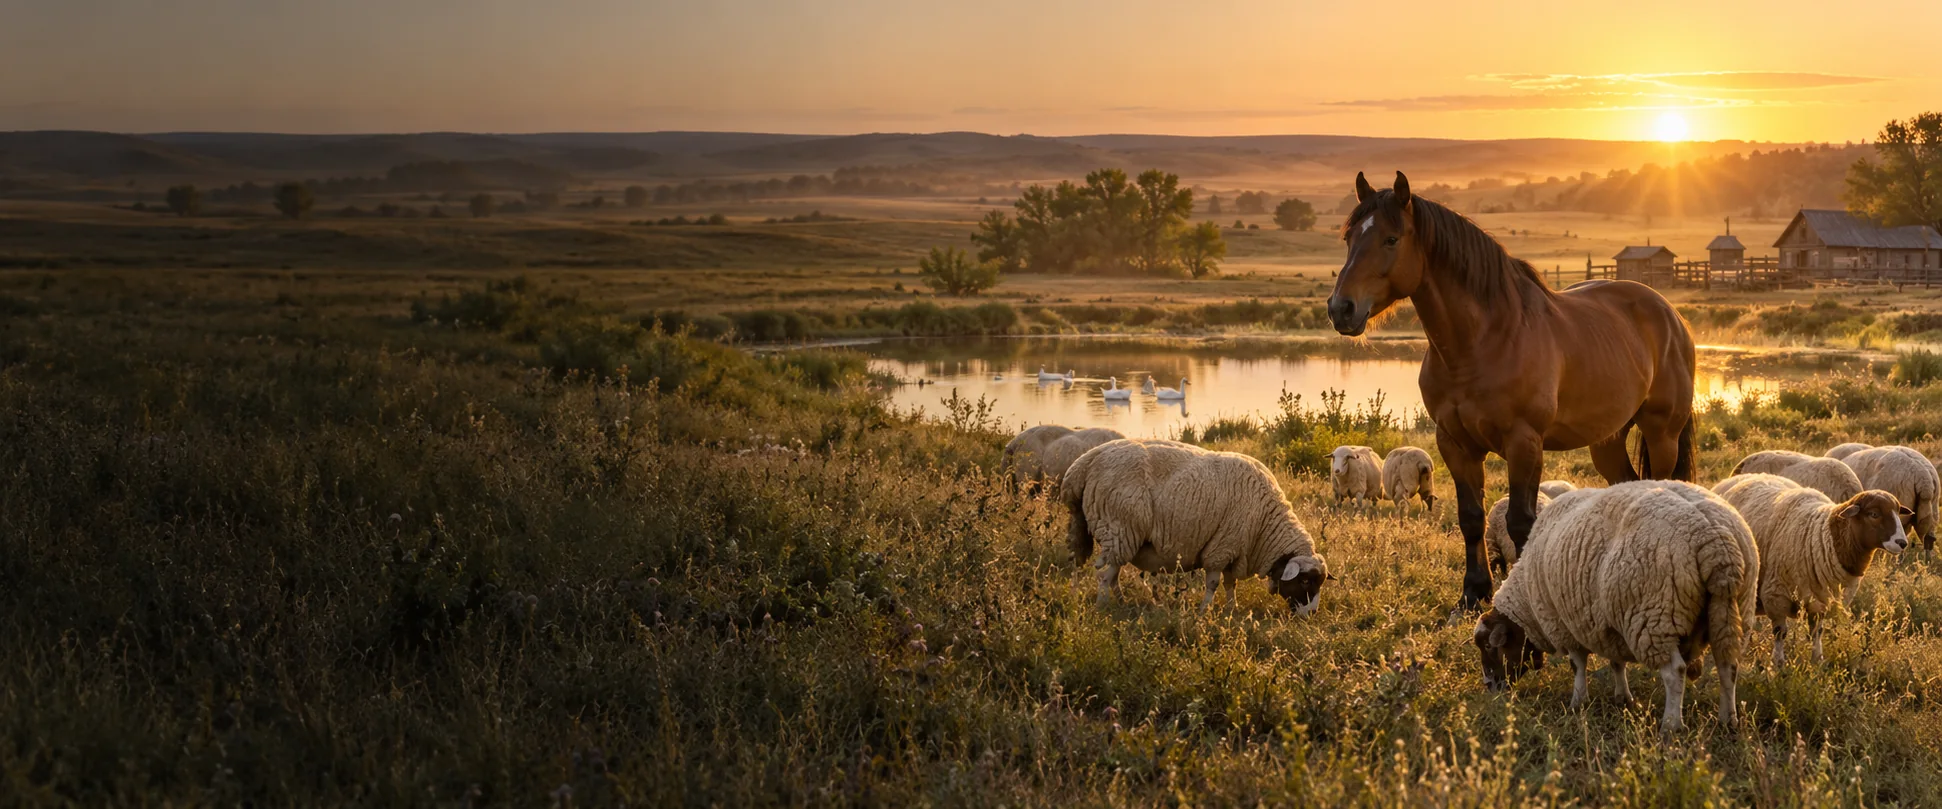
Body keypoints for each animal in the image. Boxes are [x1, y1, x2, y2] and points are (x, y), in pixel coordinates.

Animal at [1063, 439, 1329, 613]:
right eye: (1306, 581)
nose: (1312, 613)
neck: (1266, 526)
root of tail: (1083, 463)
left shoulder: (1233, 550)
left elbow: (1230, 584)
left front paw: (1231, 609)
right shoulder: (1221, 548)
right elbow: (1213, 583)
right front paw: (1204, 611)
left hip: (1119, 536)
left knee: (1112, 574)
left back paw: (1122, 603)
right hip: (1120, 528)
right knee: (1104, 575)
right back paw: (1103, 607)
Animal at [1327, 171, 1696, 610]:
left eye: (1390, 239)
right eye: (1349, 238)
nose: (1340, 309)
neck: (1482, 342)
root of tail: (1670, 314)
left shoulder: (1524, 442)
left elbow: (1521, 522)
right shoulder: (1456, 443)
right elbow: (1471, 517)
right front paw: (1473, 593)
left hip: (1662, 434)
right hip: (1607, 440)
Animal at [1473, 480, 1757, 735]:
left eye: (1488, 646)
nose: (1490, 687)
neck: (1527, 606)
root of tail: (1715, 541)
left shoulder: (1565, 623)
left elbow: (1577, 665)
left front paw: (1578, 701)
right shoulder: (1607, 623)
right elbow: (1616, 662)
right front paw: (1623, 697)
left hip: (1654, 617)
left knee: (1675, 672)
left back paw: (1671, 725)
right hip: (1734, 610)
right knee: (1728, 666)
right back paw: (1728, 720)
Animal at [1712, 473, 1910, 666]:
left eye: (1897, 512)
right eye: (1874, 514)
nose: (1902, 543)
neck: (1821, 536)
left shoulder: (1820, 601)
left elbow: (1817, 632)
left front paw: (1817, 660)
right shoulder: (1776, 595)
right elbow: (1780, 632)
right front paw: (1778, 663)